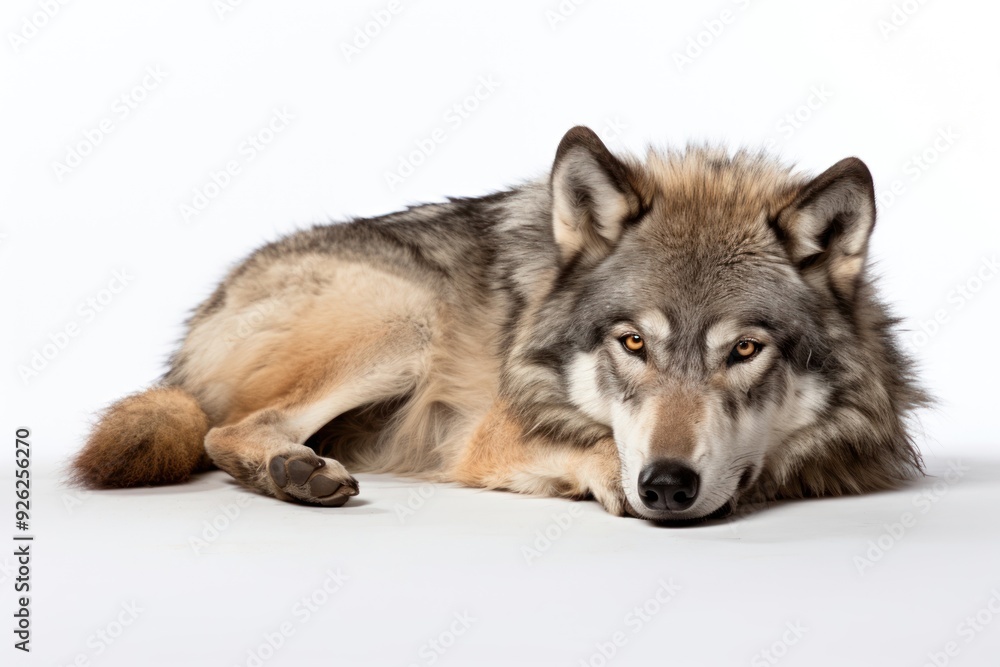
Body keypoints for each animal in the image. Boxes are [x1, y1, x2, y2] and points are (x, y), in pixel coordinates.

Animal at [72, 126, 926, 522]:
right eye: (633, 343)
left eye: (745, 349)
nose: (666, 484)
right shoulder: (489, 429)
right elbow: (584, 446)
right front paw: (608, 474)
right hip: (405, 317)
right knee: (228, 427)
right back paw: (292, 471)